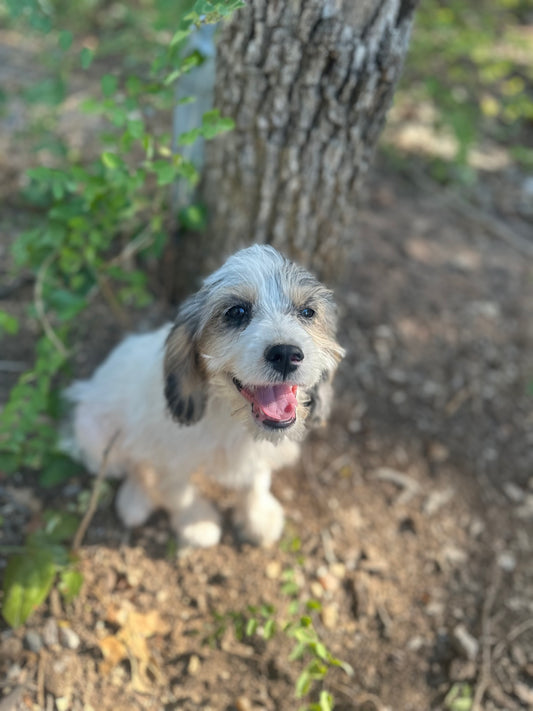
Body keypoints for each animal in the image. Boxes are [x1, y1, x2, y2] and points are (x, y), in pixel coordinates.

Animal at [63, 248, 344, 548]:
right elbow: (179, 492)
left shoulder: (258, 453)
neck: (229, 416)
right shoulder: (170, 456)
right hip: (96, 438)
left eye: (307, 312)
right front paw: (196, 524)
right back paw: (134, 500)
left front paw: (258, 516)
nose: (286, 354)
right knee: (133, 465)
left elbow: (257, 479)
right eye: (237, 312)